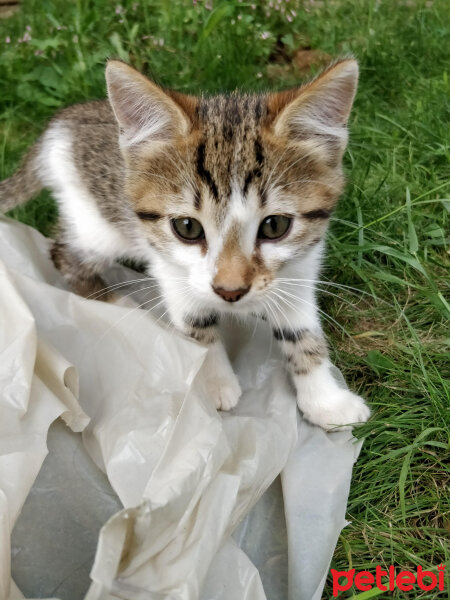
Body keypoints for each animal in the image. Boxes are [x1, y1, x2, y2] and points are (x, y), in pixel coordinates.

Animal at [0, 58, 370, 428]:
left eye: (275, 225)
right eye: (187, 228)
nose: (230, 291)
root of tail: (62, 124)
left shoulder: (300, 269)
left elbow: (302, 332)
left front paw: (326, 400)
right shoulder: (172, 270)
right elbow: (196, 325)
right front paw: (215, 383)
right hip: (99, 227)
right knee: (63, 254)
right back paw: (119, 302)